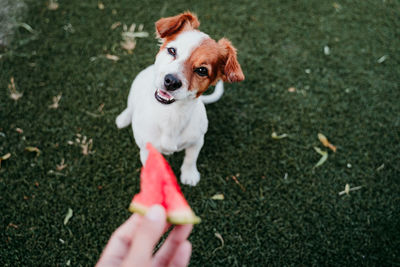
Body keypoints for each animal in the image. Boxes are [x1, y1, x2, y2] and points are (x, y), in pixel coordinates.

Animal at [113, 12, 244, 186]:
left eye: (202, 70)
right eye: (172, 51)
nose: (171, 81)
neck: (171, 114)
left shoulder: (197, 142)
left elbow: (190, 159)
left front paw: (189, 174)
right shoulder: (147, 150)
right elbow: (152, 169)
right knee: (130, 107)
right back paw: (124, 118)